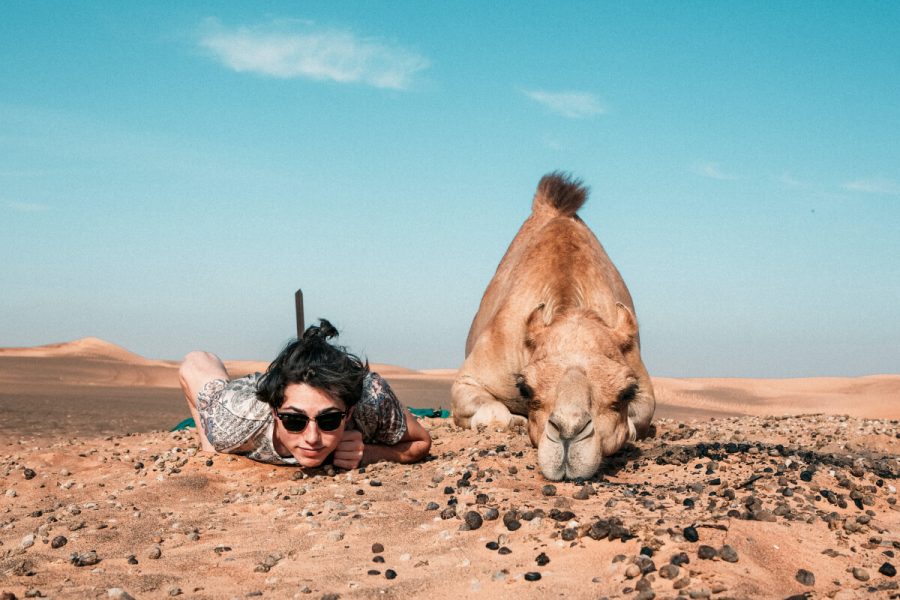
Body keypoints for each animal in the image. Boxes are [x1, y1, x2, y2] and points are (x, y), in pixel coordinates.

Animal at [450, 171, 652, 480]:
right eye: (525, 388)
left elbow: (634, 423)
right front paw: (515, 422)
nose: (568, 434)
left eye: (626, 392)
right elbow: (495, 416)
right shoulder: (471, 378)